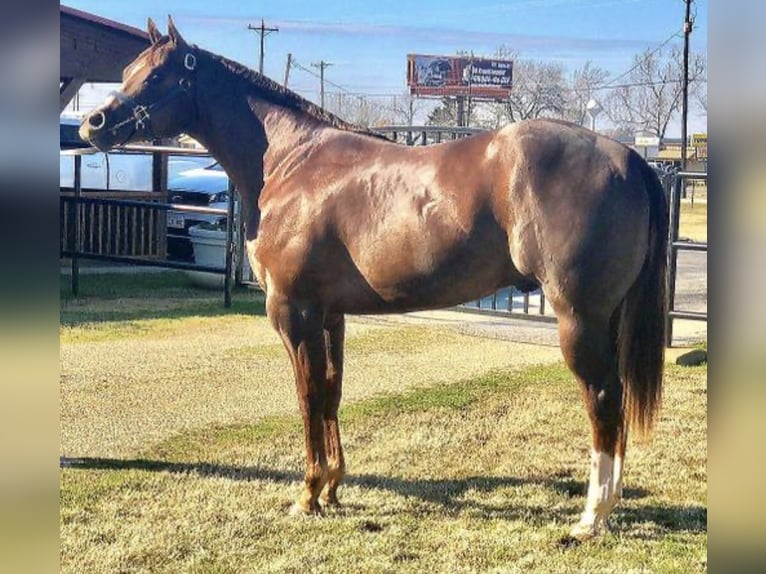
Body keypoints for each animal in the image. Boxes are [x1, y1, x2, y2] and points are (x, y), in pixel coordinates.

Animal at [79, 17, 667, 541]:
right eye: (128, 70)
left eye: (158, 74)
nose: (94, 124)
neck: (291, 163)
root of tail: (627, 157)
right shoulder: (329, 314)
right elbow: (332, 390)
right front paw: (333, 487)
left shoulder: (293, 312)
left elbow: (307, 394)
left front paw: (307, 493)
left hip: (579, 319)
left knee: (603, 400)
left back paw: (591, 518)